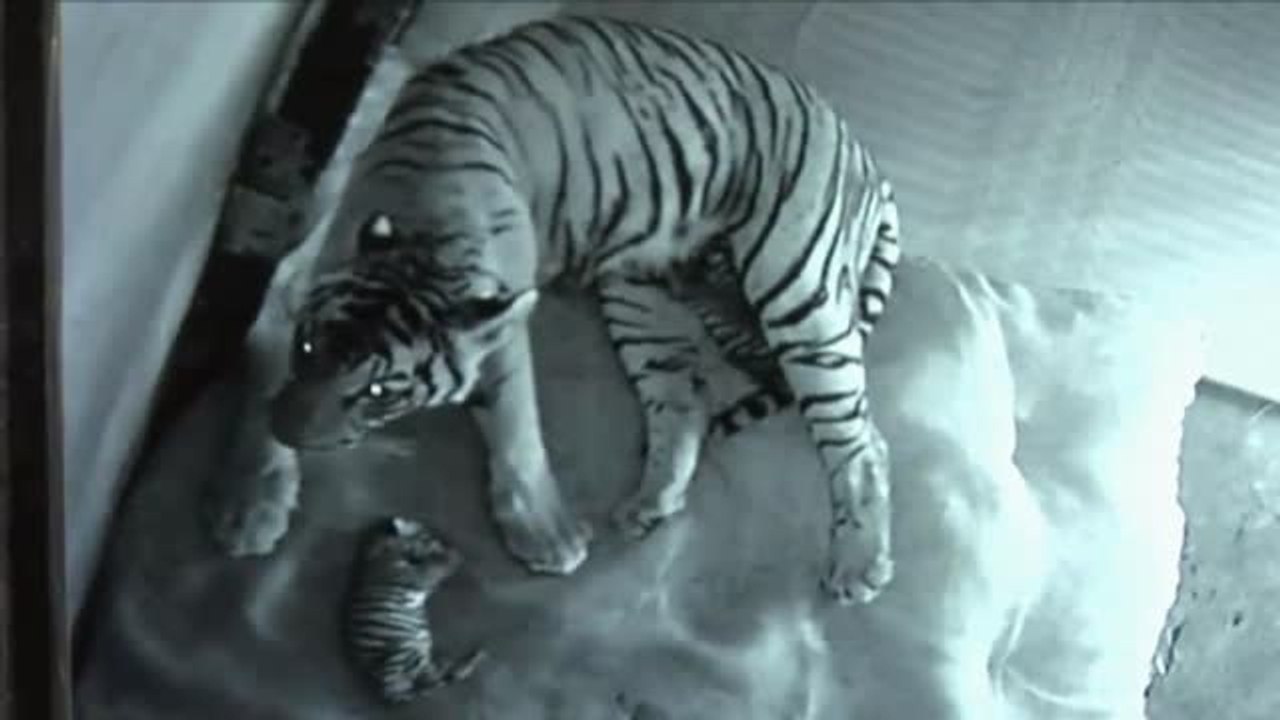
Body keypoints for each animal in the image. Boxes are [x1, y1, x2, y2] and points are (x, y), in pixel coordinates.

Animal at [213, 14, 902, 606]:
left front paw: (546, 535)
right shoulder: (301, 287)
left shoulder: (501, 330)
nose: (291, 429)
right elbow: (268, 359)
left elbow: (517, 426)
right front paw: (252, 501)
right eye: (309, 349)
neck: (426, 217)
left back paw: (859, 564)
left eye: (383, 392)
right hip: (639, 292)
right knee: (684, 404)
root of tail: (857, 144)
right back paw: (649, 503)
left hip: (796, 289)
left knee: (862, 441)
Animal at [345, 516, 485, 703]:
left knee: (434, 677)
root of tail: (387, 685)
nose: (437, 538)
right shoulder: (415, 575)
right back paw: (472, 661)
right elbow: (435, 568)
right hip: (406, 652)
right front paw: (452, 556)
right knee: (432, 681)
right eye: (427, 534)